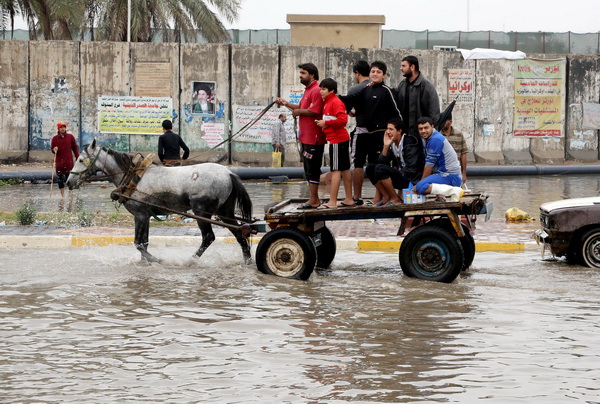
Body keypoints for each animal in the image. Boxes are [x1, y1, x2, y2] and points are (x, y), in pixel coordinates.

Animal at [66, 140, 253, 264]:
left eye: (80, 160)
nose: (68, 182)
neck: (133, 176)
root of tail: (229, 173)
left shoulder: (141, 215)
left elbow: (139, 244)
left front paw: (156, 260)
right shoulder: (145, 216)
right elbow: (144, 243)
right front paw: (144, 263)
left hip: (201, 212)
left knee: (208, 237)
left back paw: (191, 260)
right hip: (225, 212)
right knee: (240, 234)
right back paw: (248, 261)